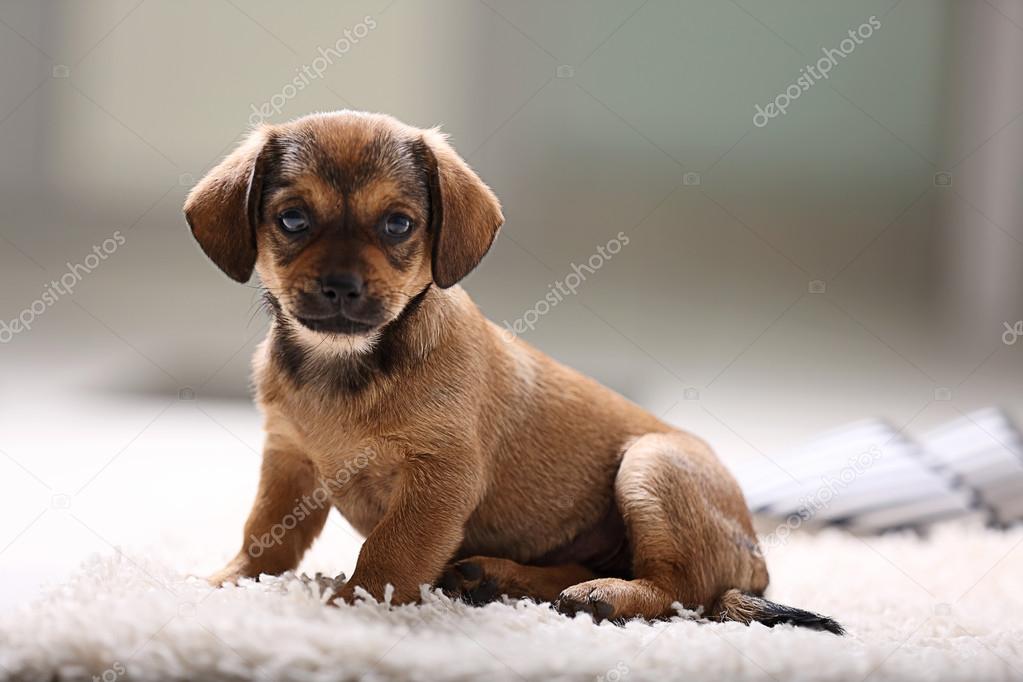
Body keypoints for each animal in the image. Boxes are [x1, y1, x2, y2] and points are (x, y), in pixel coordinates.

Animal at [184, 111, 838, 633]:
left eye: (398, 224)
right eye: (293, 219)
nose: (341, 287)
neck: (345, 363)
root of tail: (756, 565)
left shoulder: (439, 477)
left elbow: (390, 552)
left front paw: (354, 603)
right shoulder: (289, 462)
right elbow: (265, 534)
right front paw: (230, 581)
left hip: (652, 466)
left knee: (682, 592)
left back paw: (604, 595)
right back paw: (498, 579)